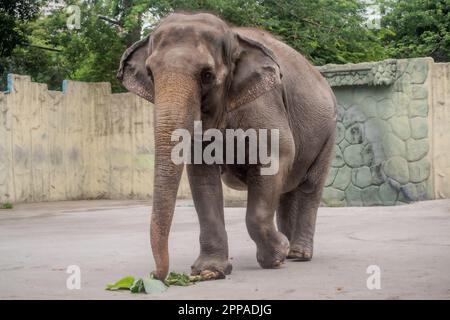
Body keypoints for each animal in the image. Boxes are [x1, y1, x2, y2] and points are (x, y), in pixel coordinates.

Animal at [118, 11, 336, 280]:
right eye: (150, 73)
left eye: (207, 75)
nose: (156, 275)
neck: (234, 36)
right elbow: (201, 176)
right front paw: (210, 271)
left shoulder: (265, 103)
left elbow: (278, 156)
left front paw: (275, 256)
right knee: (287, 190)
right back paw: (290, 249)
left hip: (329, 133)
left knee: (309, 187)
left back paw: (297, 253)